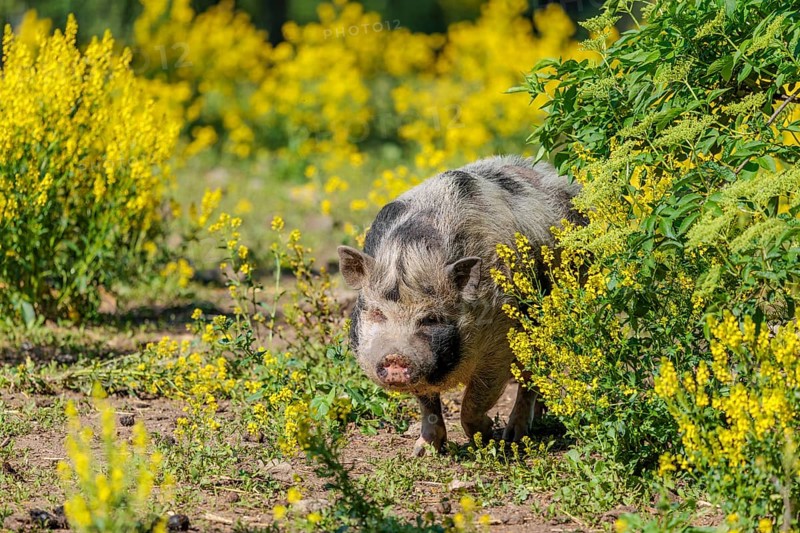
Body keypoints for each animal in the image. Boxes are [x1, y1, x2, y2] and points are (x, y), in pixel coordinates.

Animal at [337, 155, 582, 456]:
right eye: (377, 313)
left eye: (431, 318)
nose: (395, 357)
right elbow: (428, 404)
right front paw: (422, 452)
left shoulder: (500, 344)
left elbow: (474, 401)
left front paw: (488, 438)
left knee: (530, 376)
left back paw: (514, 437)